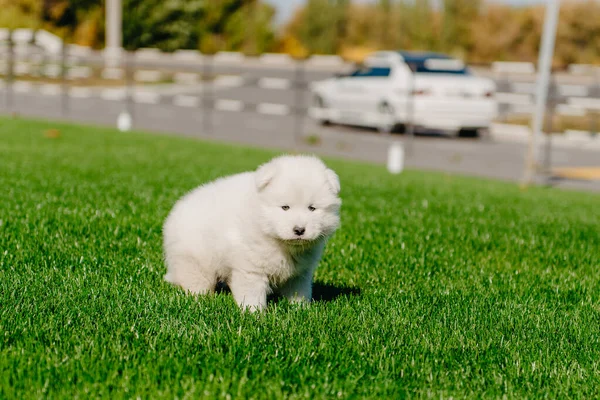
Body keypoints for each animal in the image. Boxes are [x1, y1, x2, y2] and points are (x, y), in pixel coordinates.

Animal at [163, 155, 342, 310]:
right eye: (285, 207)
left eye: (312, 208)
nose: (299, 230)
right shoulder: (251, 268)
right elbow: (252, 294)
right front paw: (254, 314)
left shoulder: (300, 272)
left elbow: (300, 291)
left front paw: (301, 310)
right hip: (195, 261)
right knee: (196, 281)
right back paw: (202, 299)